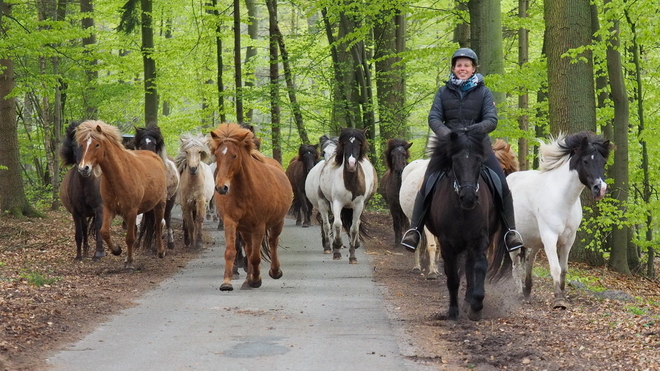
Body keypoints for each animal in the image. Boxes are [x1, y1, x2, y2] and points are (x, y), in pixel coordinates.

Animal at [59, 122, 104, 262]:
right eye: (74, 145)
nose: (84, 169)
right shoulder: (76, 212)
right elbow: (78, 233)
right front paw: (78, 256)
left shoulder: (99, 208)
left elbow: (99, 229)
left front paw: (98, 254)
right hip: (83, 214)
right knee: (84, 229)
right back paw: (84, 252)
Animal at [75, 120, 169, 268]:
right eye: (83, 145)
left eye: (97, 144)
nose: (84, 168)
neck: (120, 175)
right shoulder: (109, 209)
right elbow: (104, 232)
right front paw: (117, 250)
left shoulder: (131, 211)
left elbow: (130, 238)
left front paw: (129, 262)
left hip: (160, 204)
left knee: (158, 226)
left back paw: (160, 251)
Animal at [209, 123, 292, 292]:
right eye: (217, 155)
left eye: (234, 155)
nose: (221, 188)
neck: (244, 191)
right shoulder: (230, 222)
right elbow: (231, 251)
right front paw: (226, 282)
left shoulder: (259, 225)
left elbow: (255, 257)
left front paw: (256, 279)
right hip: (245, 229)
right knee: (248, 248)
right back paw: (247, 280)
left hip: (277, 222)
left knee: (272, 242)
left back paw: (274, 271)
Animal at [422, 130, 510, 320]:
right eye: (455, 160)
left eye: (478, 160)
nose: (468, 197)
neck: (462, 210)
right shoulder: (447, 243)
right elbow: (453, 277)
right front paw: (453, 311)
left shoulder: (480, 239)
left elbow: (479, 267)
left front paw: (476, 305)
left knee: (470, 268)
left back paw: (469, 300)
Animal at [508, 132, 612, 310]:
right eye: (586, 161)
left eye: (603, 162)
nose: (600, 189)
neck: (562, 198)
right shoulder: (550, 237)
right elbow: (555, 268)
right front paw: (559, 300)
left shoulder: (569, 240)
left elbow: (564, 269)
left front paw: (563, 294)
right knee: (515, 264)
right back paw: (518, 293)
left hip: (534, 240)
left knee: (528, 260)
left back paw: (527, 290)